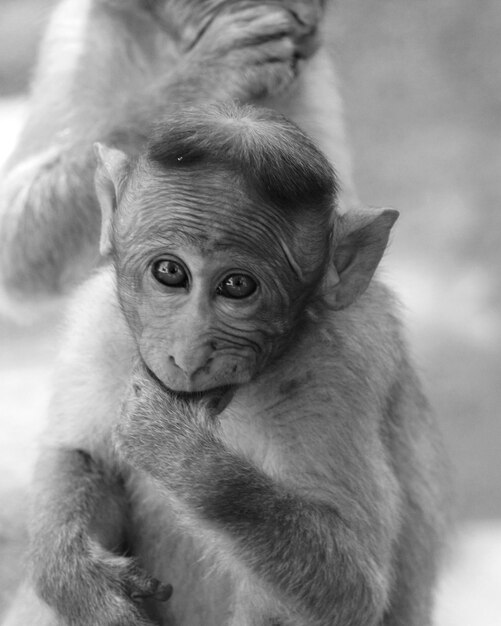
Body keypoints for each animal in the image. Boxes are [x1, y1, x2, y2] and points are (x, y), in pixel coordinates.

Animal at [2, 103, 446, 624]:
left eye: (237, 286)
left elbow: (355, 590)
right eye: (169, 272)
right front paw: (79, 583)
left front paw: (178, 450)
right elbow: (77, 453)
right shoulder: (98, 325)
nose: (190, 353)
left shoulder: (341, 371)